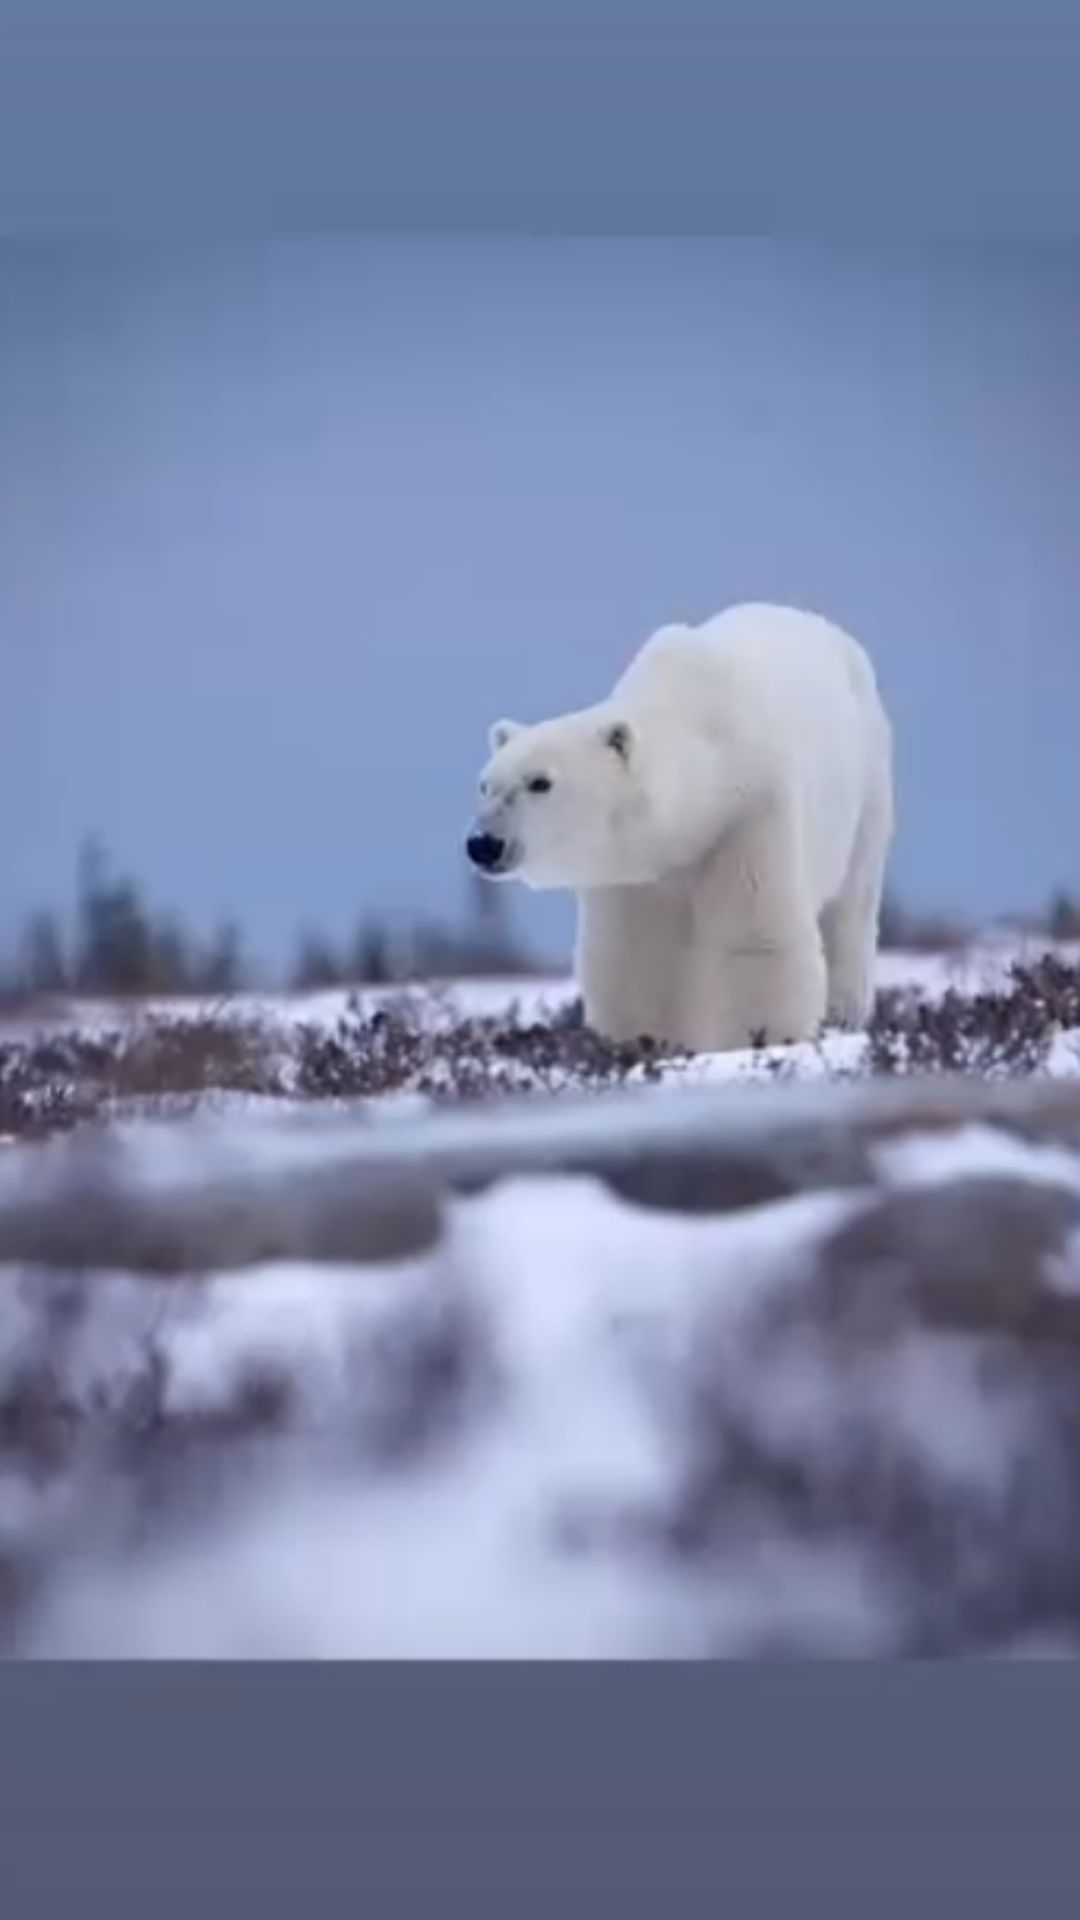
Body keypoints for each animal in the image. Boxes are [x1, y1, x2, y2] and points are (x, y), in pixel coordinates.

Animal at [466, 602, 895, 1055]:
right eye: (485, 784)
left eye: (540, 782)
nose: (483, 844)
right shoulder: (633, 873)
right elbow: (632, 958)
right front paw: (640, 1046)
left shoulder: (752, 814)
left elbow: (755, 942)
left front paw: (757, 1042)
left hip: (867, 793)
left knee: (850, 905)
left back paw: (843, 1014)